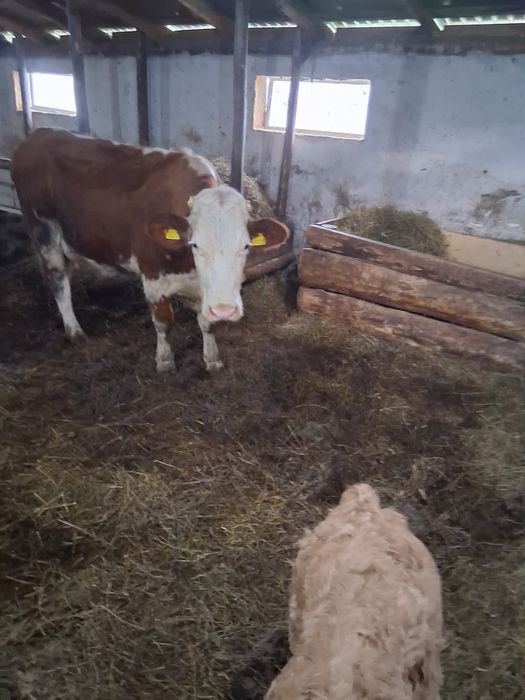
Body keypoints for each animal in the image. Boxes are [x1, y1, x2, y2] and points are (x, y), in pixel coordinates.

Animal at [11, 129, 289, 372]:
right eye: (196, 244)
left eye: (246, 246)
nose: (225, 310)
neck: (187, 265)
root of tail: (38, 135)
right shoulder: (152, 274)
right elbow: (164, 322)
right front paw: (165, 361)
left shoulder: (203, 287)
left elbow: (206, 323)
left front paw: (212, 359)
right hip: (42, 231)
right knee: (58, 281)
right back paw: (74, 330)